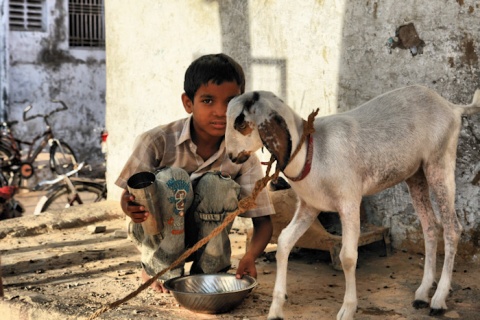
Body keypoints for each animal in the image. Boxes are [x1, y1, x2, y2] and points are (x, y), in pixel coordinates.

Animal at [225, 85, 480, 320]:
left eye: (241, 123)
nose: (230, 156)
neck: (314, 150)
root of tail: (452, 107)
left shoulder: (349, 202)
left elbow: (348, 257)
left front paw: (347, 309)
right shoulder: (310, 207)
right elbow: (284, 242)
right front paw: (276, 310)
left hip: (440, 164)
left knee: (452, 228)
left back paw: (438, 299)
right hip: (415, 175)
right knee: (430, 226)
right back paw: (422, 293)